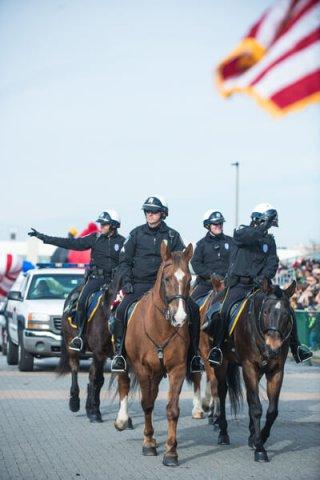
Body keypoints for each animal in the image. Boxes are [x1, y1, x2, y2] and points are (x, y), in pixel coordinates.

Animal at [57, 284, 115, 422]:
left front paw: (92, 409)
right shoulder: (99, 353)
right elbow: (96, 379)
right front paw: (94, 412)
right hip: (71, 347)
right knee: (75, 369)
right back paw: (74, 402)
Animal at [114, 242, 192, 466]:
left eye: (189, 279)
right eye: (167, 279)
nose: (180, 317)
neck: (161, 327)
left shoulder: (177, 369)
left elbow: (172, 409)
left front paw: (171, 452)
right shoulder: (142, 369)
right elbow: (147, 404)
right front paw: (148, 443)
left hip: (158, 373)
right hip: (127, 364)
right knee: (123, 383)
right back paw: (122, 420)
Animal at [212, 280, 296, 464]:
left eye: (287, 315)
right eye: (265, 311)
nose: (273, 349)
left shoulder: (276, 370)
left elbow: (271, 410)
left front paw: (260, 438)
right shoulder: (249, 366)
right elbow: (256, 407)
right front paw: (260, 449)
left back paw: (251, 434)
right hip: (221, 364)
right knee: (221, 392)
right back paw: (223, 433)